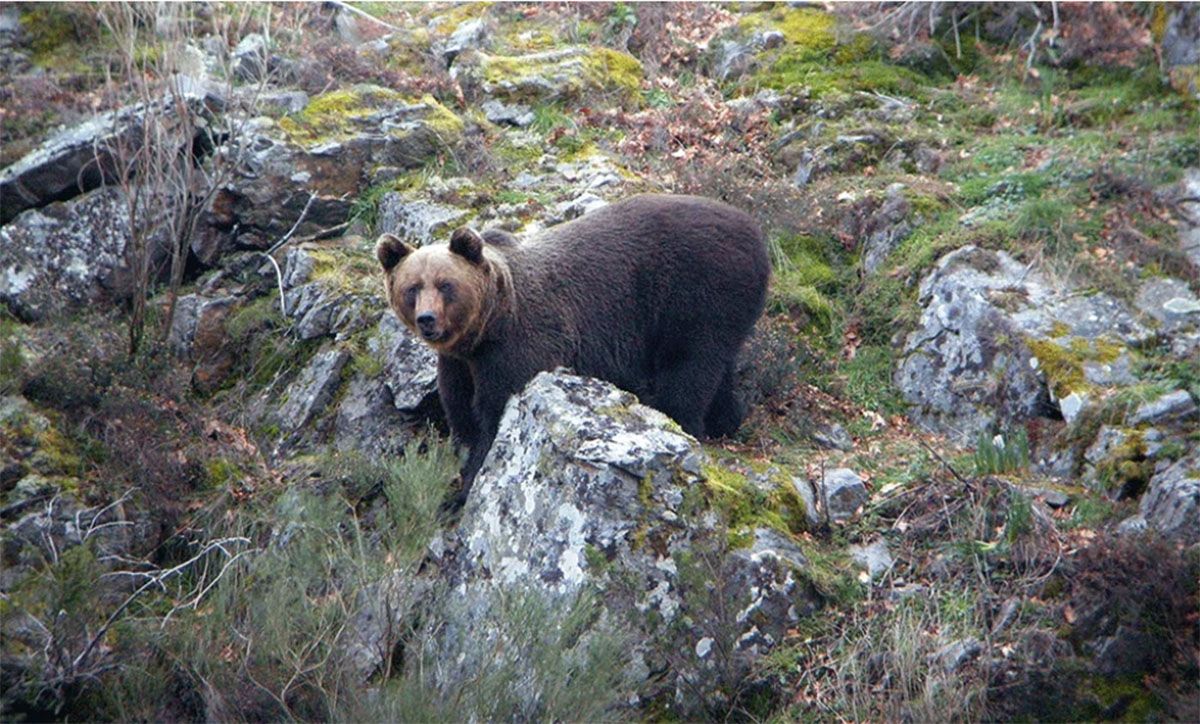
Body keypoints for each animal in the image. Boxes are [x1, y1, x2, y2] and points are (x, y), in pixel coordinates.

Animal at [374, 192, 768, 487]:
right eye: (412, 287)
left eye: (445, 284)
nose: (427, 320)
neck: (489, 326)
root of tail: (756, 231)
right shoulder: (459, 362)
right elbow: (460, 413)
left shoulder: (519, 349)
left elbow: (495, 417)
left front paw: (469, 481)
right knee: (719, 369)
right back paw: (725, 420)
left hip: (696, 296)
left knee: (688, 370)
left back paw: (685, 423)